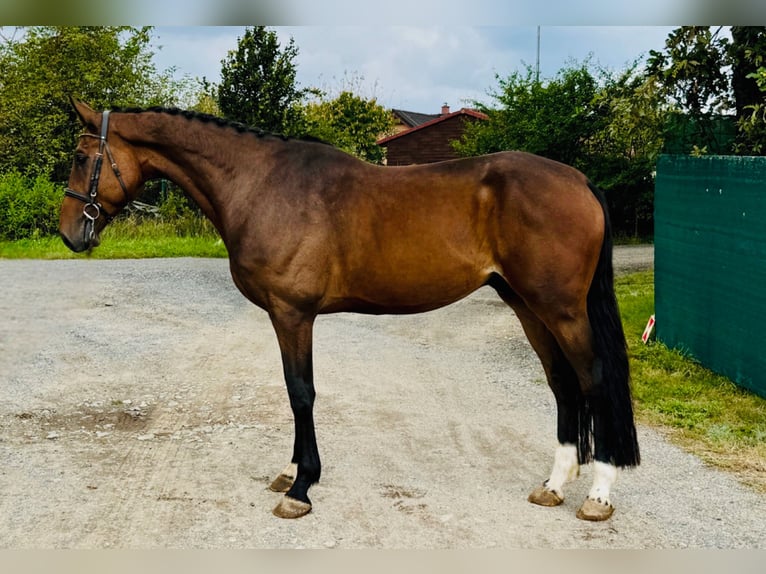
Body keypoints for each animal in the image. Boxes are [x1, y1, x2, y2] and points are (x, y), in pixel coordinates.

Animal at [60, 99, 640, 520]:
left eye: (83, 158)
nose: (70, 234)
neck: (261, 184)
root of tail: (578, 180)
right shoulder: (288, 317)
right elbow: (294, 392)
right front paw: (292, 471)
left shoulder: (292, 314)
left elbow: (302, 393)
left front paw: (301, 488)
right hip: (525, 304)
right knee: (562, 385)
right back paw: (554, 484)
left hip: (561, 310)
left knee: (593, 381)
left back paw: (599, 494)